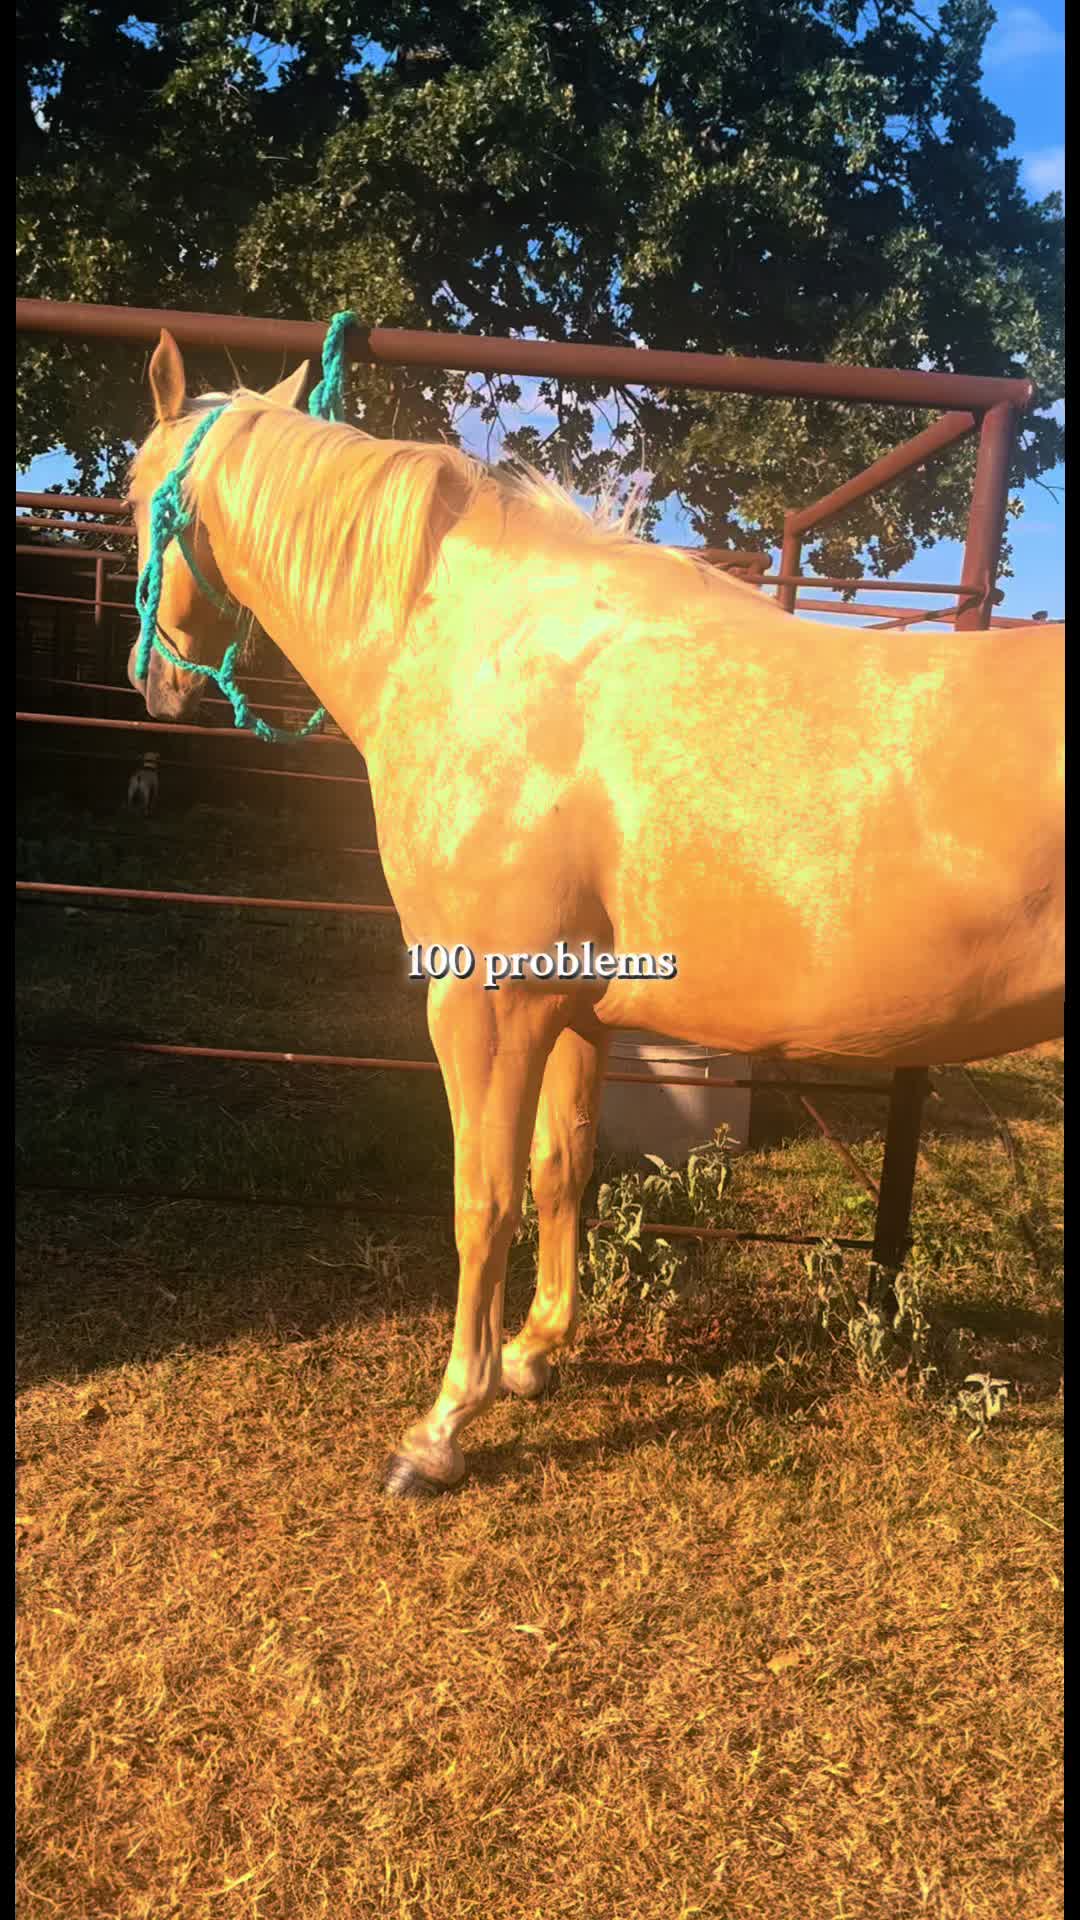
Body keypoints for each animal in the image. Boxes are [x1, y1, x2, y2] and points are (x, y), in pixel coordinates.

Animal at [126, 330, 1064, 1496]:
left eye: (133, 498)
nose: (154, 685)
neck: (489, 658)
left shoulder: (481, 1004)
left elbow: (482, 1199)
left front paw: (442, 1426)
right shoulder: (573, 1009)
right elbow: (560, 1167)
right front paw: (535, 1356)